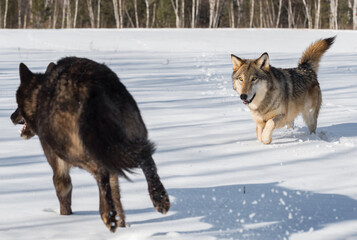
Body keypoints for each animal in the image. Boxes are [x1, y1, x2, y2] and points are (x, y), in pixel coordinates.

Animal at [9, 57, 168, 232]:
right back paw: (159, 198)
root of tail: (92, 85)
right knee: (146, 159)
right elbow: (117, 195)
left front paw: (66, 218)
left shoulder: (58, 167)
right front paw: (122, 225)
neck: (38, 97)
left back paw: (107, 214)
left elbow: (64, 196)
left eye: (17, 104)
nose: (11, 117)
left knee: (100, 171)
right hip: (132, 135)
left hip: (72, 150)